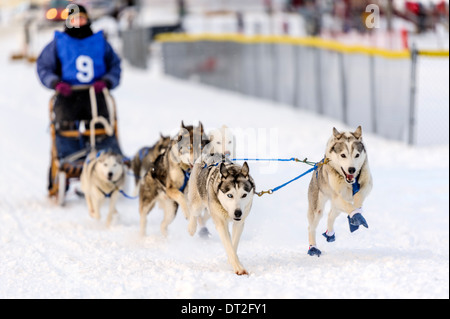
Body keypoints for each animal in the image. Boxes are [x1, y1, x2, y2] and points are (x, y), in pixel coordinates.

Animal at [306, 127, 372, 258]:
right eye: (343, 155)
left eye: (357, 155)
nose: (352, 169)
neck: (350, 182)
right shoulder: (336, 197)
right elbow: (350, 207)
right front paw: (356, 216)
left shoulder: (366, 186)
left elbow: (358, 198)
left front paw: (356, 217)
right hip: (317, 209)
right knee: (311, 228)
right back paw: (313, 248)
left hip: (336, 208)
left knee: (331, 215)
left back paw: (330, 233)